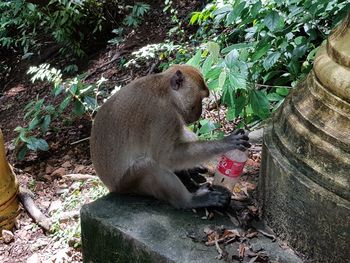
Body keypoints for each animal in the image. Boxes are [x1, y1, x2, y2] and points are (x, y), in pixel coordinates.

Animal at [89, 65, 249, 209]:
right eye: (201, 98)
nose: (200, 112)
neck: (164, 91)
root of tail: (111, 187)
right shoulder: (163, 115)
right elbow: (166, 157)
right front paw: (227, 142)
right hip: (127, 184)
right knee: (149, 166)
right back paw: (190, 201)